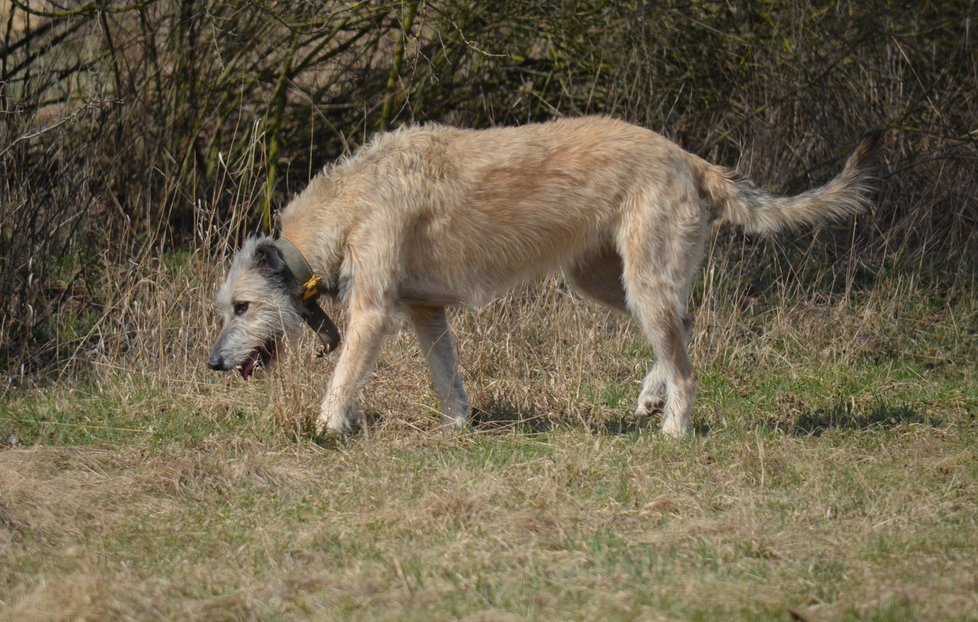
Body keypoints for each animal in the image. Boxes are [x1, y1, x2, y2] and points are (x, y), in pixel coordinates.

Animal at [206, 117, 876, 438]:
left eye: (242, 307)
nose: (213, 365)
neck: (347, 205)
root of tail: (690, 159)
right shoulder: (426, 312)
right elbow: (447, 377)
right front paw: (458, 427)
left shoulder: (373, 314)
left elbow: (342, 378)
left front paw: (325, 429)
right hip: (609, 281)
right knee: (683, 325)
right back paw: (651, 395)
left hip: (641, 282)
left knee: (687, 363)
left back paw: (673, 429)